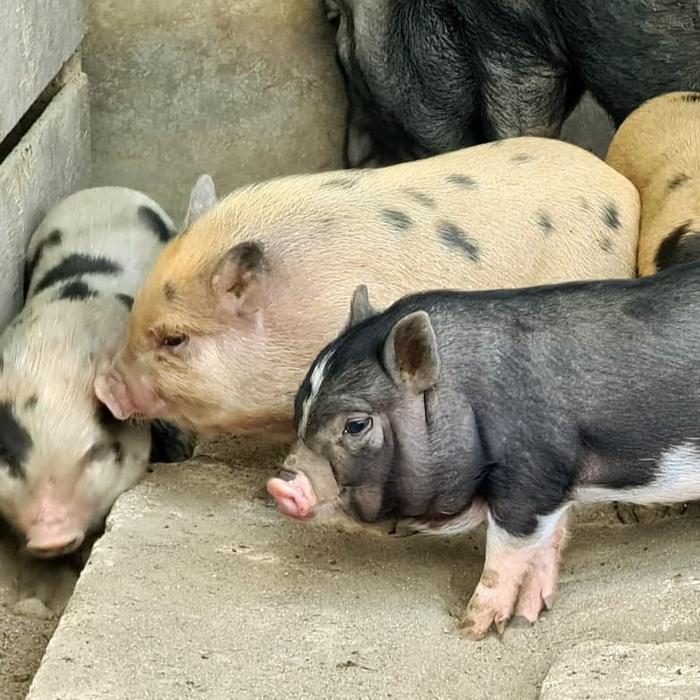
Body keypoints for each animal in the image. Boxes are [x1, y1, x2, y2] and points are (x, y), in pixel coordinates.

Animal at [268, 266, 700, 640]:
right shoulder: (555, 484)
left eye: (356, 425)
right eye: (299, 410)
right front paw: (530, 614)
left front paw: (473, 630)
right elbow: (550, 541)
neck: (466, 399)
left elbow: (504, 553)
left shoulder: (529, 476)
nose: (281, 483)